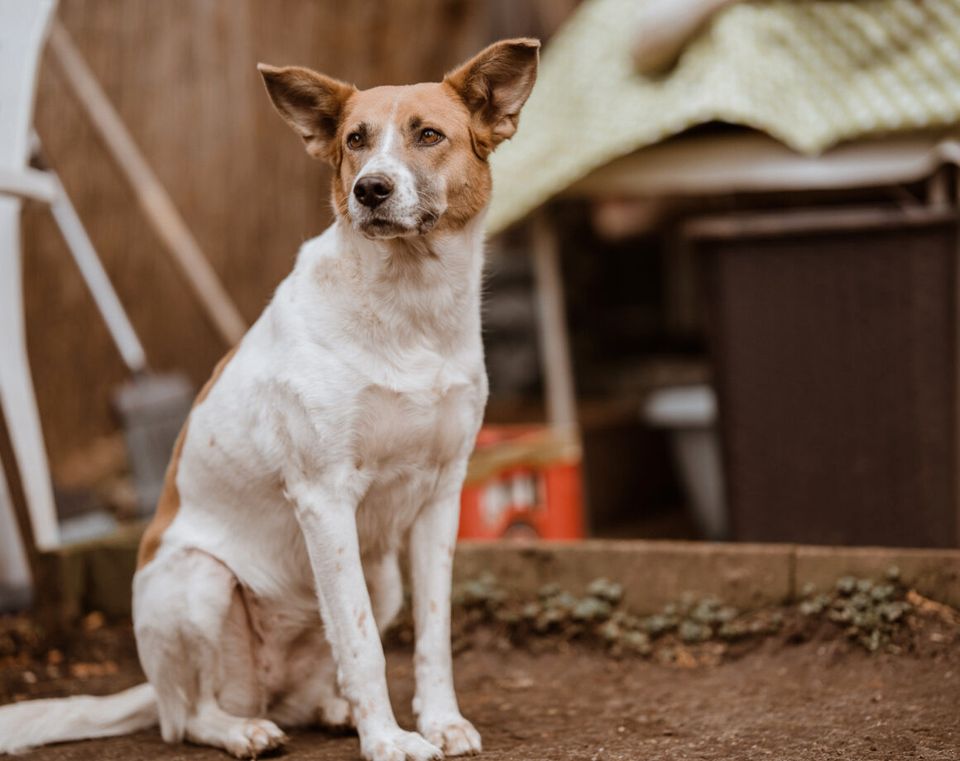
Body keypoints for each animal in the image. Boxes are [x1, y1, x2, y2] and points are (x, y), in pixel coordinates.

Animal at [0, 37, 540, 760]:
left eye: (429, 135)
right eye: (354, 140)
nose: (370, 189)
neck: (409, 310)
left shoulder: (440, 497)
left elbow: (433, 635)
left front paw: (439, 720)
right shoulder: (325, 497)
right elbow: (362, 643)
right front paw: (388, 740)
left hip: (382, 577)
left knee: (302, 690)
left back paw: (330, 711)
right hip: (200, 581)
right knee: (190, 716)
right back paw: (244, 729)